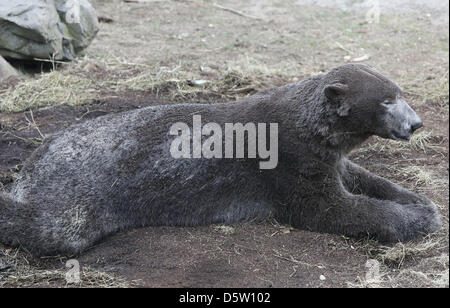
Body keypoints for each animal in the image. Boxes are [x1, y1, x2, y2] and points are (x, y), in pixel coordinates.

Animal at [0, 62, 442, 255]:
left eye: (400, 93)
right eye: (387, 101)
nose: (416, 123)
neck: (309, 124)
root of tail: (30, 170)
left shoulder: (326, 159)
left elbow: (364, 177)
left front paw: (420, 201)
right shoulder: (291, 163)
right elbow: (334, 210)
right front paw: (414, 219)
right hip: (72, 201)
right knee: (48, 226)